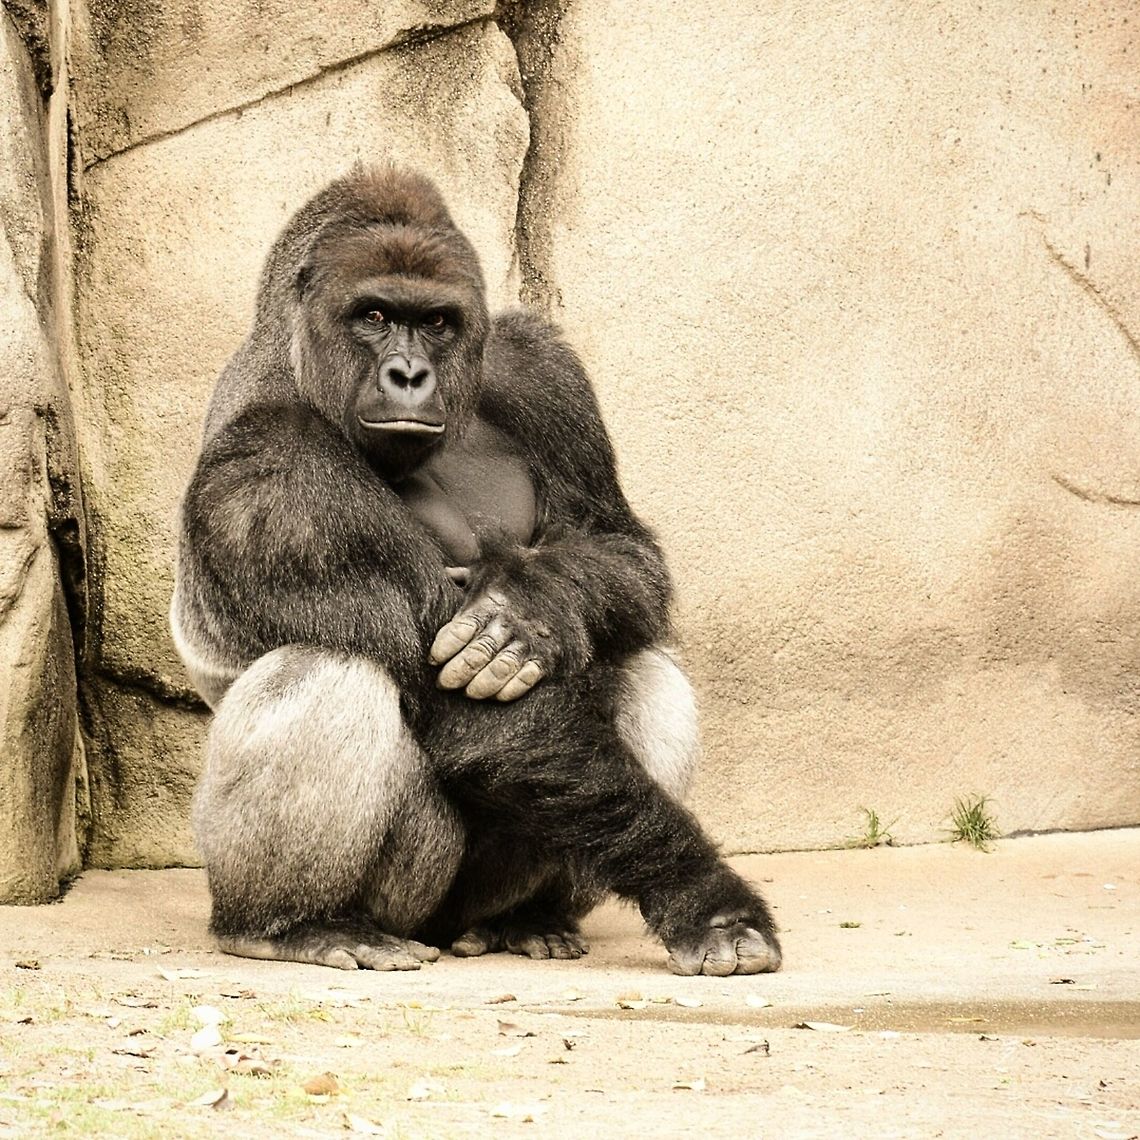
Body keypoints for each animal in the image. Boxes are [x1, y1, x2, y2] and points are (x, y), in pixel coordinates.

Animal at [170, 165, 782, 977]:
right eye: (372, 315)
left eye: (436, 322)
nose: (408, 373)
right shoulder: (276, 477)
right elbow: (469, 715)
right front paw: (702, 896)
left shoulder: (537, 365)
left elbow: (620, 547)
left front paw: (534, 608)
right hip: (399, 905)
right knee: (327, 671)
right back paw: (290, 924)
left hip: (479, 902)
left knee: (646, 668)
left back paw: (525, 917)